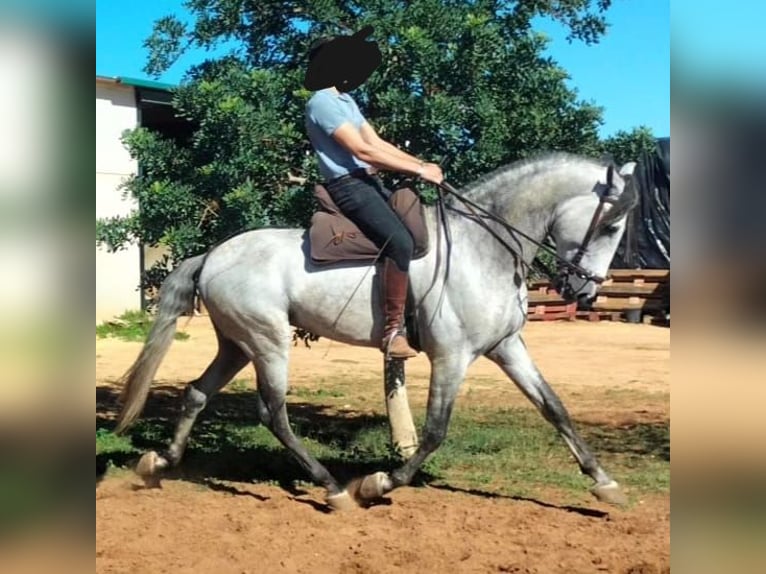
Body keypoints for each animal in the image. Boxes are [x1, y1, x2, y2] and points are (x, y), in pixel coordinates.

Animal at [115, 153, 640, 512]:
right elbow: (434, 431)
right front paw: (377, 483)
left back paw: (159, 462)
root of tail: (214, 254)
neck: (482, 248)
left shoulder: (506, 347)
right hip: (267, 342)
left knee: (197, 393)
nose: (586, 290)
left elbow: (555, 408)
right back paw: (332, 489)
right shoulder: (452, 357)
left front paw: (604, 483)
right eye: (611, 225)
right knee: (273, 414)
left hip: (236, 345)